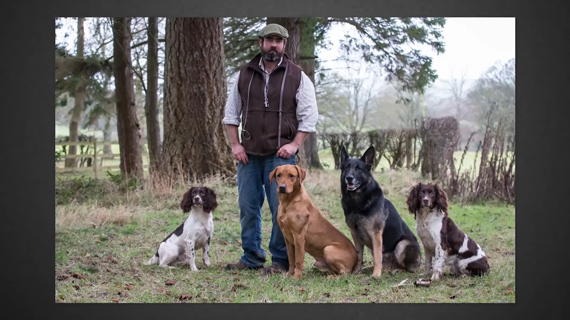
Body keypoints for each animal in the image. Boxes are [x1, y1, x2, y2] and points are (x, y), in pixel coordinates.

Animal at [338, 146, 422, 278]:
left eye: (358, 169)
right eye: (347, 168)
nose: (349, 178)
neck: (357, 201)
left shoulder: (376, 234)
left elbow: (378, 257)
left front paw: (376, 274)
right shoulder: (355, 234)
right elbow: (359, 255)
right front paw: (357, 271)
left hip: (402, 245)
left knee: (406, 267)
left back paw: (395, 270)